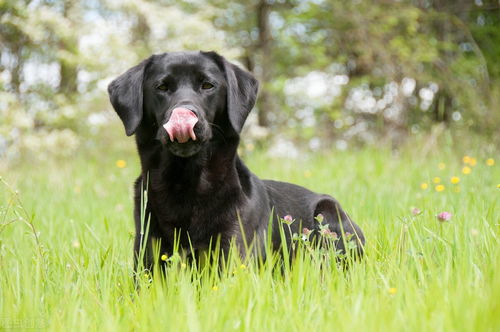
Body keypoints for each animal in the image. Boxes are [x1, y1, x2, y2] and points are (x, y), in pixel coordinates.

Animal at [107, 51, 366, 270]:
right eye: (162, 87)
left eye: (208, 85)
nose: (185, 114)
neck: (185, 183)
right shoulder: (148, 257)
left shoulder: (232, 253)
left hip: (329, 213)